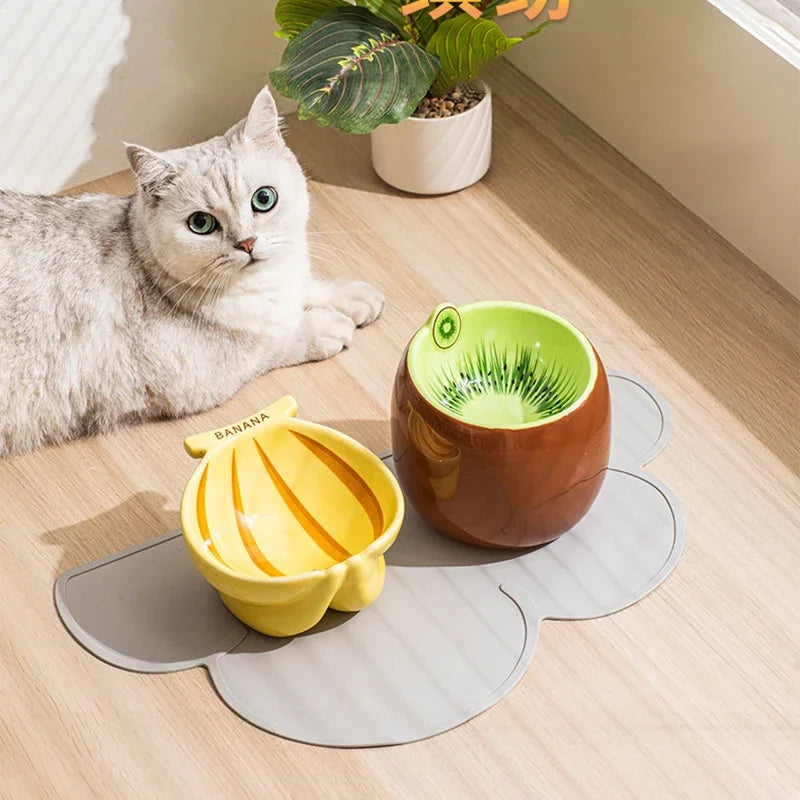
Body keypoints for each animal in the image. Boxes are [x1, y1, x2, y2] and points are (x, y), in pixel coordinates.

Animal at [0, 86, 384, 456]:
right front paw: (323, 326)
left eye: (264, 199)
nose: (246, 243)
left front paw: (353, 295)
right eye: (201, 223)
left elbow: (306, 287)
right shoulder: (199, 373)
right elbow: (271, 342)